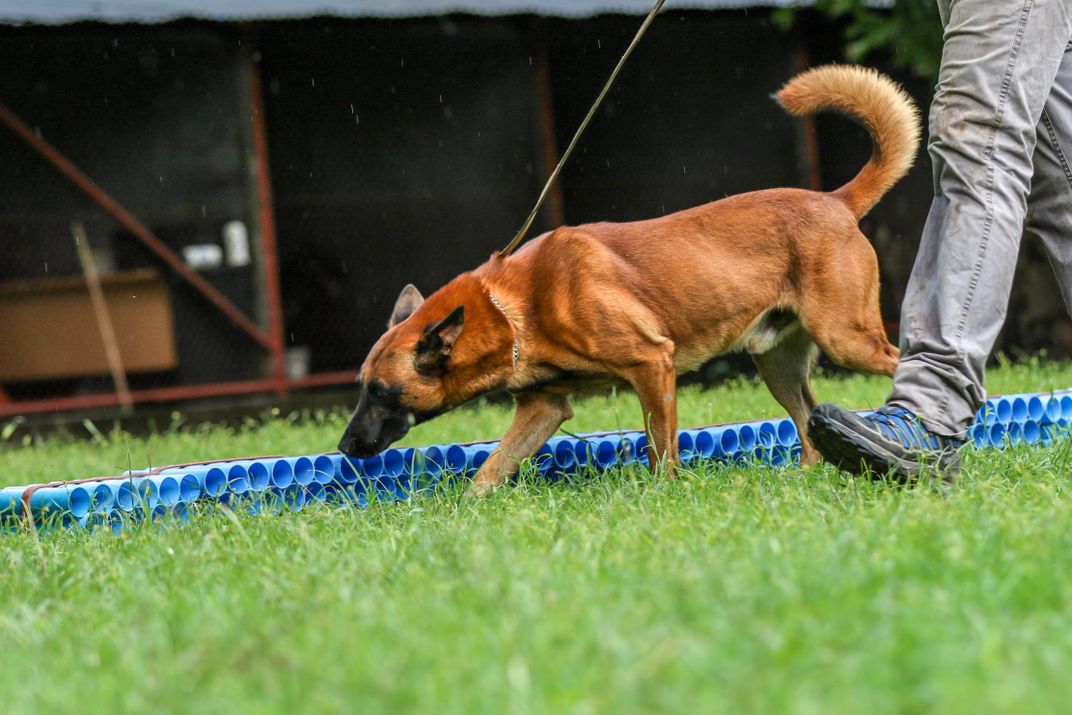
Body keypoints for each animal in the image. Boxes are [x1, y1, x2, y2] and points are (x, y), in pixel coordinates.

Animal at [340, 64, 921, 495]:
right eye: (361, 387)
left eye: (382, 392)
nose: (344, 449)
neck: (512, 308)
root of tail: (835, 201)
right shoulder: (544, 408)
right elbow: (490, 469)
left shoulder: (652, 364)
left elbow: (660, 447)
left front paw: (665, 496)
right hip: (777, 364)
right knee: (807, 426)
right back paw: (802, 481)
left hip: (845, 338)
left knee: (899, 364)